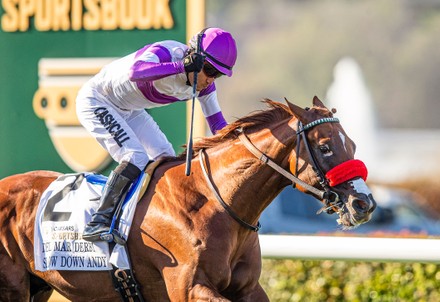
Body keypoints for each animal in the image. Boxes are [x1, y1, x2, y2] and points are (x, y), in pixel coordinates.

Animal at [0, 97, 378, 302]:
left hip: (39, 285)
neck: (215, 202)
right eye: (325, 147)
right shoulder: (188, 287)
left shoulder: (248, 288)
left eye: (353, 145)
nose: (364, 204)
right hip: (13, 286)